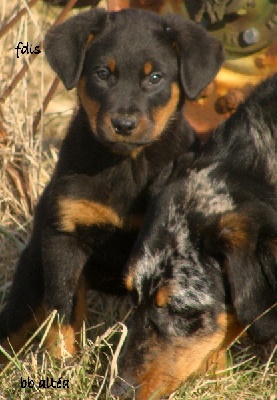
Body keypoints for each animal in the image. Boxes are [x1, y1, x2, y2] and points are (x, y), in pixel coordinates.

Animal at [0, 9, 222, 358]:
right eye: (103, 73)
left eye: (155, 78)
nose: (124, 124)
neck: (126, 165)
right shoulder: (63, 239)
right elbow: (62, 313)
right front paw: (62, 362)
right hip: (31, 279)